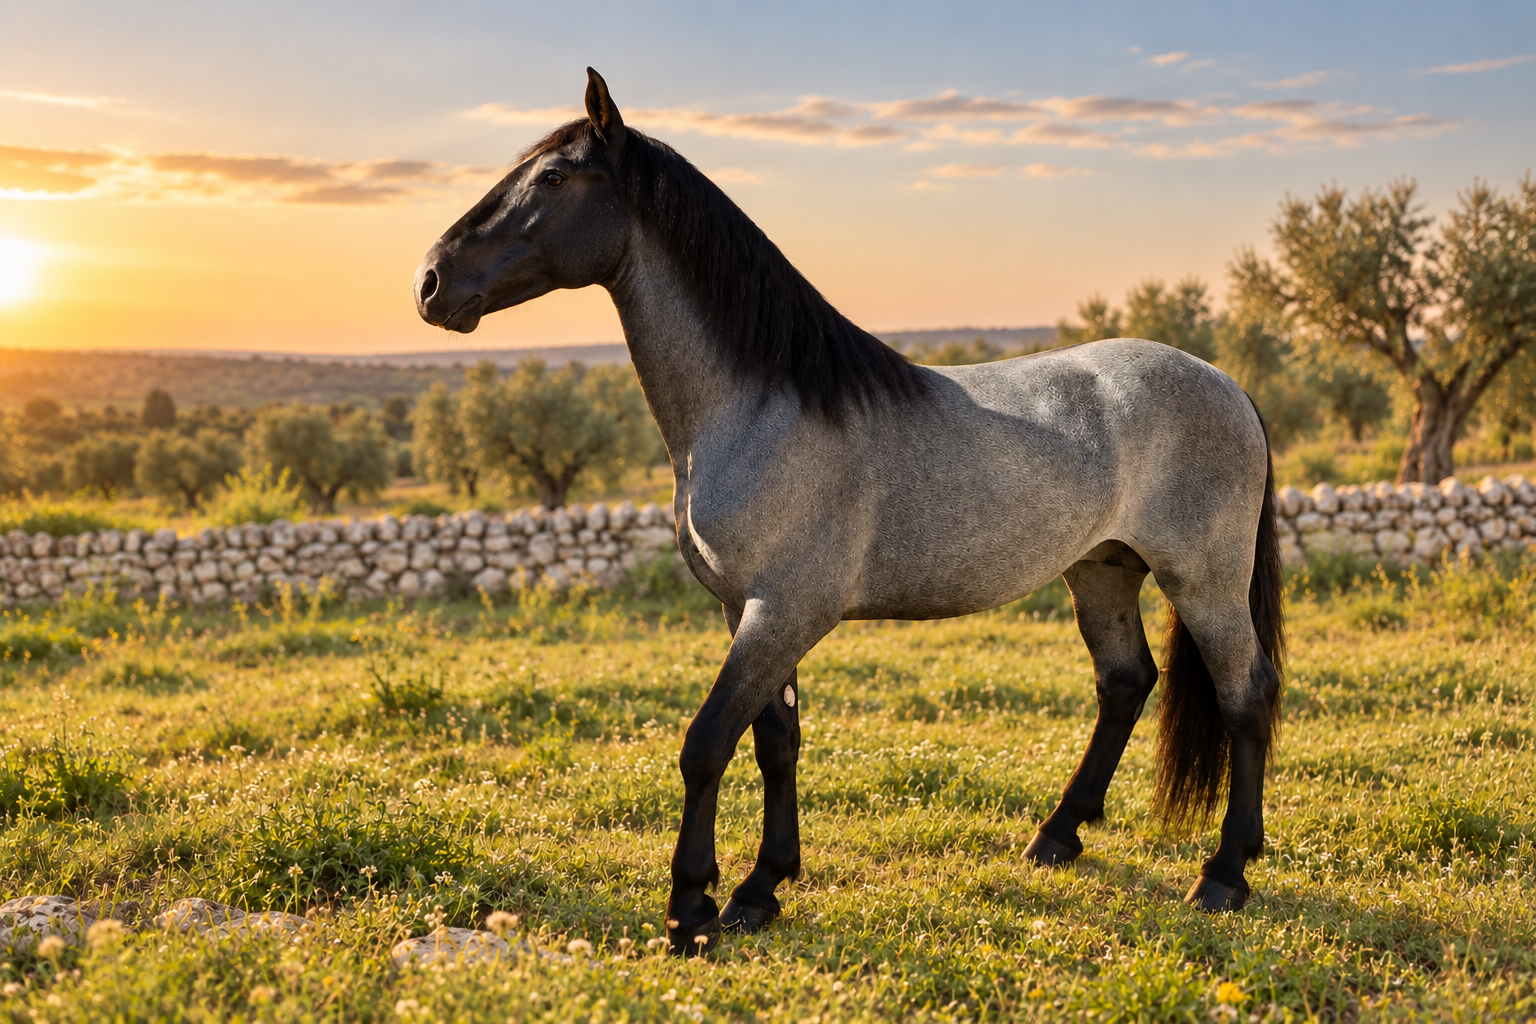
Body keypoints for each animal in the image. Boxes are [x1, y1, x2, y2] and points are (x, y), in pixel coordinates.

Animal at [415, 68, 1285, 955]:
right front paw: (760, 890)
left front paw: (692, 908)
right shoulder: (748, 612)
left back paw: (1224, 874)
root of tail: (1228, 385)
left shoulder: (784, 612)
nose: (431, 282)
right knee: (1124, 683)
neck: (760, 408)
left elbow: (707, 744)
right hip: (1100, 570)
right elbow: (777, 743)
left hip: (1203, 579)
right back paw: (1057, 836)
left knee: (1247, 694)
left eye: (554, 178)